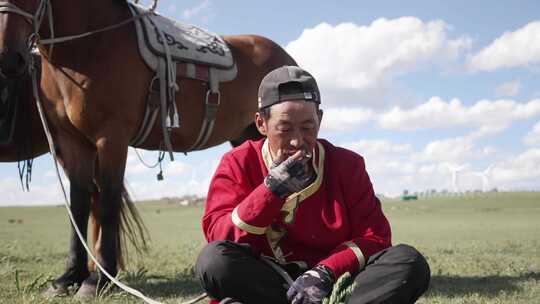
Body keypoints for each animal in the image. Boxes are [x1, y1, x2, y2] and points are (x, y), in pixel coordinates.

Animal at [0, 0, 298, 296]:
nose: (9, 59)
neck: (90, 44)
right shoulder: (72, 142)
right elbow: (79, 206)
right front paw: (70, 276)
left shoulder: (112, 137)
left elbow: (108, 203)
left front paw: (99, 278)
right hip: (246, 134)